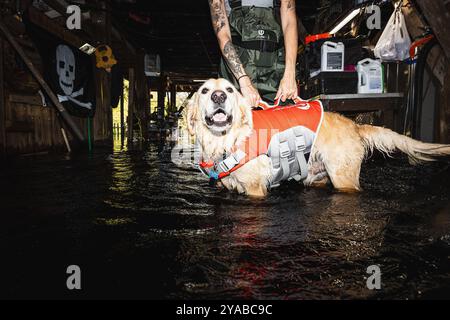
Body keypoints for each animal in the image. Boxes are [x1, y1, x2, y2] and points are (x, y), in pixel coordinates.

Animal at [185, 79, 450, 196]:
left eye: (229, 89)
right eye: (205, 90)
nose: (218, 96)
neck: (225, 139)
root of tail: (354, 125)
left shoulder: (255, 190)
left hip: (343, 177)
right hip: (317, 175)